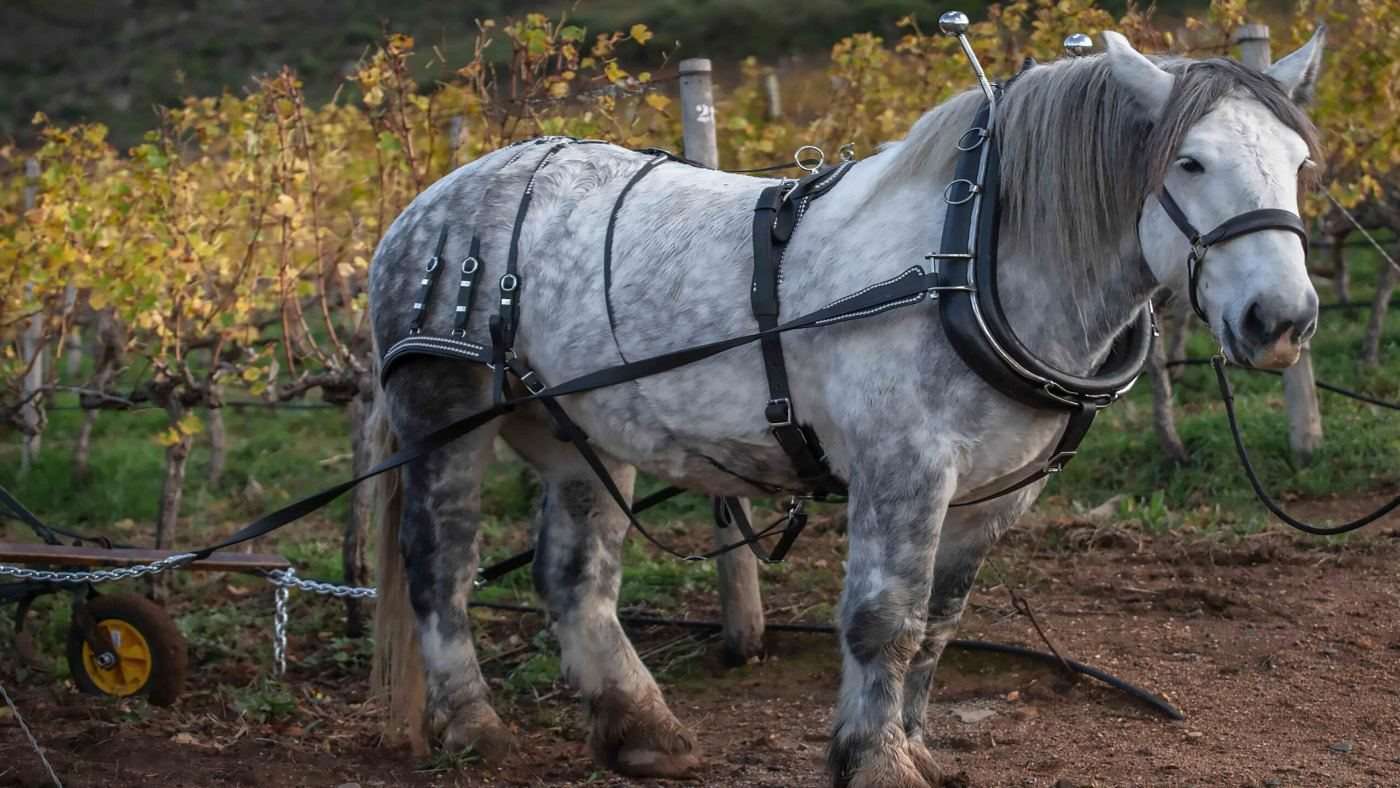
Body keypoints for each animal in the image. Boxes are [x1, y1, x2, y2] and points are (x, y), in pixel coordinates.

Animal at [367, 29, 1326, 787]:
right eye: (1190, 163)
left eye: (1298, 164)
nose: (1280, 320)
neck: (964, 261)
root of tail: (433, 199)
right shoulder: (903, 467)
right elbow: (883, 622)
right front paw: (874, 762)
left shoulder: (995, 492)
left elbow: (937, 626)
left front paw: (915, 746)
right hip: (443, 408)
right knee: (439, 567)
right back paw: (475, 726)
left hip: (577, 433)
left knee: (574, 579)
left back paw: (642, 732)